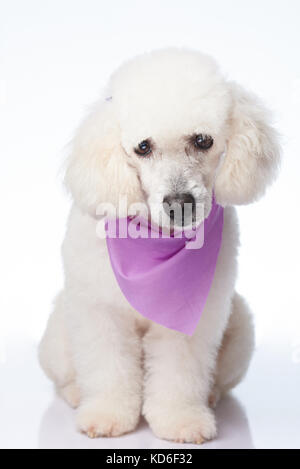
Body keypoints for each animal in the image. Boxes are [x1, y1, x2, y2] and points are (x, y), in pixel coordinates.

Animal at [38, 48, 280, 442]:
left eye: (203, 140)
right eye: (143, 147)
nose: (179, 202)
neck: (153, 240)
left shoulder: (193, 320)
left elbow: (179, 374)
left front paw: (181, 419)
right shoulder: (100, 312)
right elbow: (107, 368)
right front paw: (106, 414)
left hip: (240, 323)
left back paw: (210, 396)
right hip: (59, 331)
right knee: (65, 376)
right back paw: (75, 394)